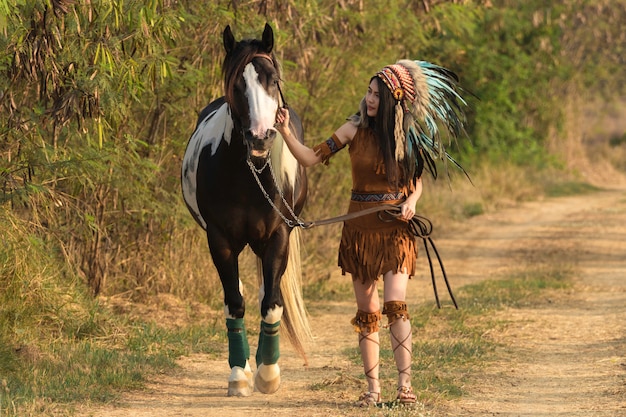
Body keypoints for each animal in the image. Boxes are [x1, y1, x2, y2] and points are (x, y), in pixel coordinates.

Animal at [180, 24, 310, 394]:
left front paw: (269, 374)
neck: (249, 177)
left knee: (269, 293)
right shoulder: (220, 241)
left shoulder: (279, 236)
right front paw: (239, 375)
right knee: (238, 293)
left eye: (273, 79)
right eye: (237, 84)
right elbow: (234, 304)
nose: (260, 137)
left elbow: (271, 304)